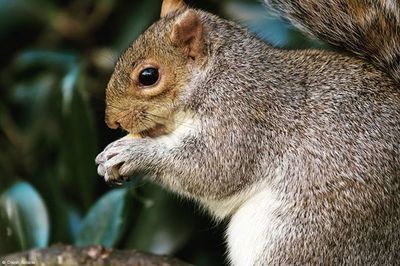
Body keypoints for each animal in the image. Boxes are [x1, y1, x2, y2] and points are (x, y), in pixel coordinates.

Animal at [96, 0, 400, 264]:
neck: (217, 74)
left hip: (310, 232)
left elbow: (213, 170)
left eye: (148, 76)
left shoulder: (243, 117)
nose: (112, 122)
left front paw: (132, 153)